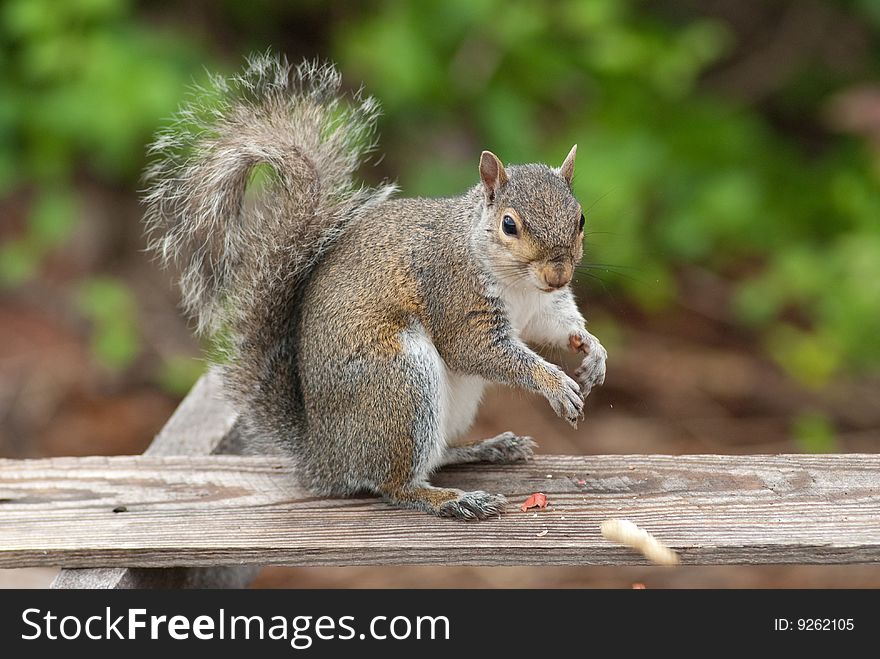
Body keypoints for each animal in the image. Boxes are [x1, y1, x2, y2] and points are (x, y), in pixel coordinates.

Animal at [146, 54, 604, 520]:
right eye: (509, 225)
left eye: (580, 218)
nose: (558, 275)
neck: (519, 285)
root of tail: (324, 457)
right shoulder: (452, 289)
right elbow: (474, 349)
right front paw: (555, 383)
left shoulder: (543, 306)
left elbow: (556, 325)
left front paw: (592, 352)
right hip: (400, 385)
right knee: (393, 483)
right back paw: (451, 499)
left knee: (436, 454)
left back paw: (488, 448)